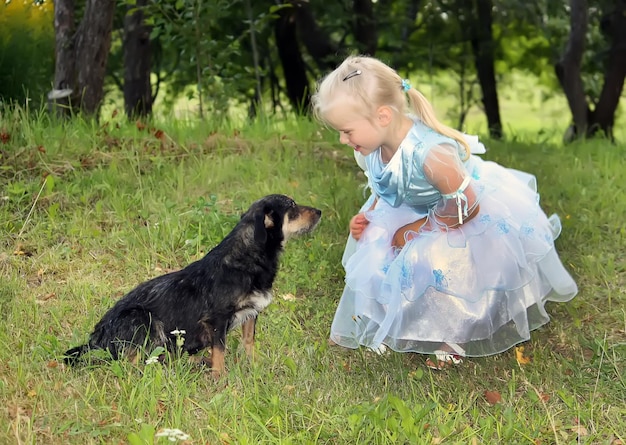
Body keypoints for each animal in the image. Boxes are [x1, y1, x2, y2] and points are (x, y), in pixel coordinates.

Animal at [63, 193, 320, 374]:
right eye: (292, 206)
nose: (320, 210)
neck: (246, 258)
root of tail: (96, 339)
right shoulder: (217, 319)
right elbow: (220, 351)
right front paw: (220, 378)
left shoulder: (251, 313)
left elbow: (249, 342)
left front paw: (254, 366)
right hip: (142, 319)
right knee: (133, 362)